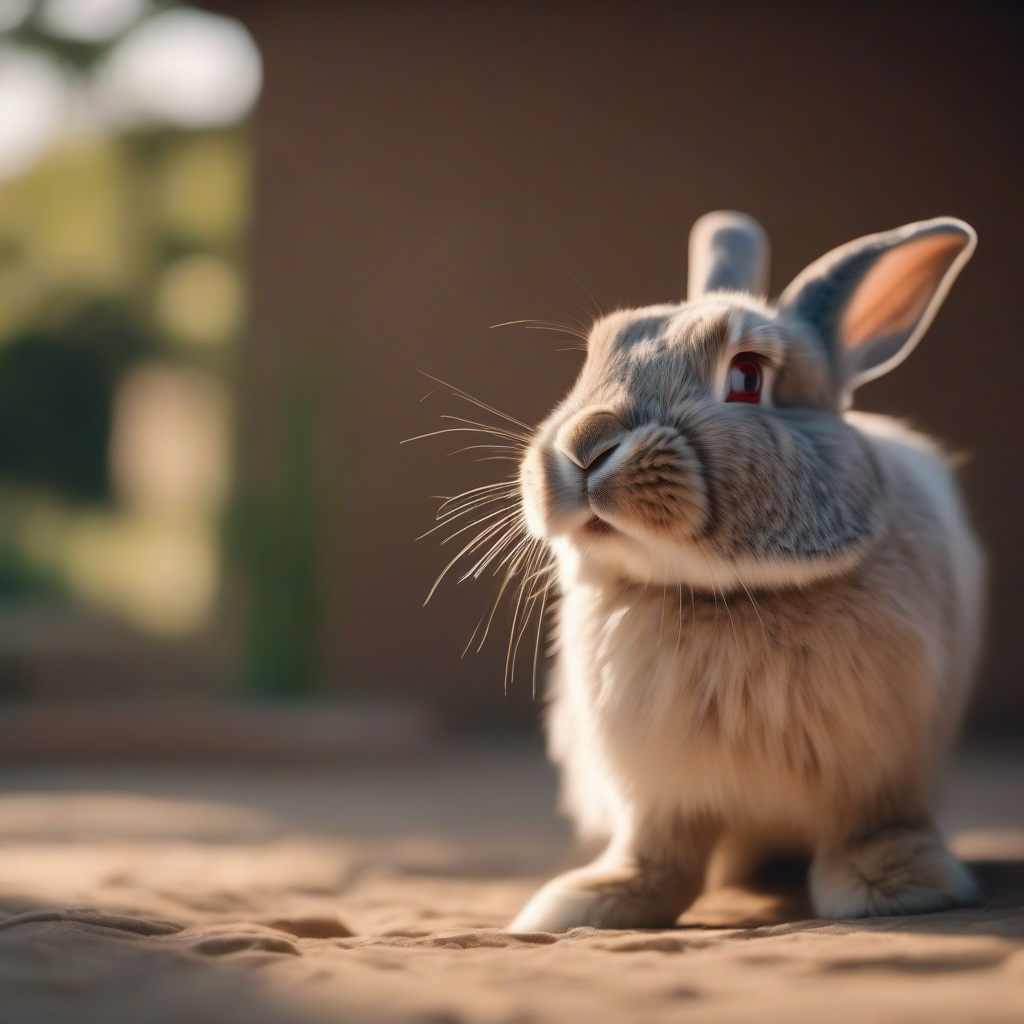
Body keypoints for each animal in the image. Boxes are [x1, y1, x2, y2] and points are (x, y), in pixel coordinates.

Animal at [498, 211, 984, 931]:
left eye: (749, 377)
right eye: (594, 360)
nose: (585, 446)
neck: (725, 593)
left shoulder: (879, 772)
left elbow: (869, 827)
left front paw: (895, 889)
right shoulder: (659, 790)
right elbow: (659, 852)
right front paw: (591, 904)